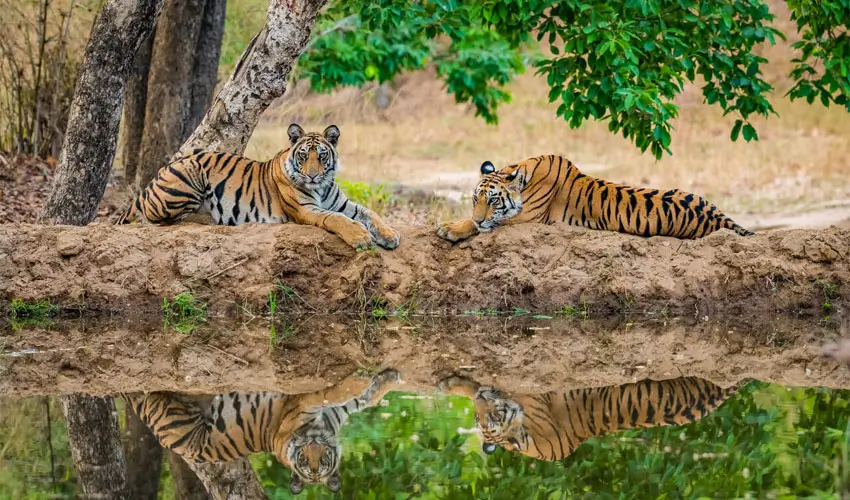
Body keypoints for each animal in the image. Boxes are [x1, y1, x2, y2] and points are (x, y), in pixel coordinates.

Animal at [114, 123, 400, 250]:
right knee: (158, 219)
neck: (322, 187)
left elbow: (369, 213)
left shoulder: (342, 203)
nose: (312, 176)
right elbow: (337, 220)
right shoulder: (306, 210)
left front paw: (389, 235)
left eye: (321, 156)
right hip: (189, 174)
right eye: (303, 156)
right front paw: (361, 237)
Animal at [123, 368, 401, 494]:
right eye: (304, 461)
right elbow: (338, 394)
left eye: (321, 462)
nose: (312, 448)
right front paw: (368, 379)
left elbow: (361, 399)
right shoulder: (301, 404)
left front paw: (384, 379)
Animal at [436, 155, 754, 243]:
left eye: (493, 201)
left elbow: (481, 224)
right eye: (474, 199)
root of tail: (718, 215)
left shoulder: (528, 218)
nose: (480, 217)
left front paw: (449, 228)